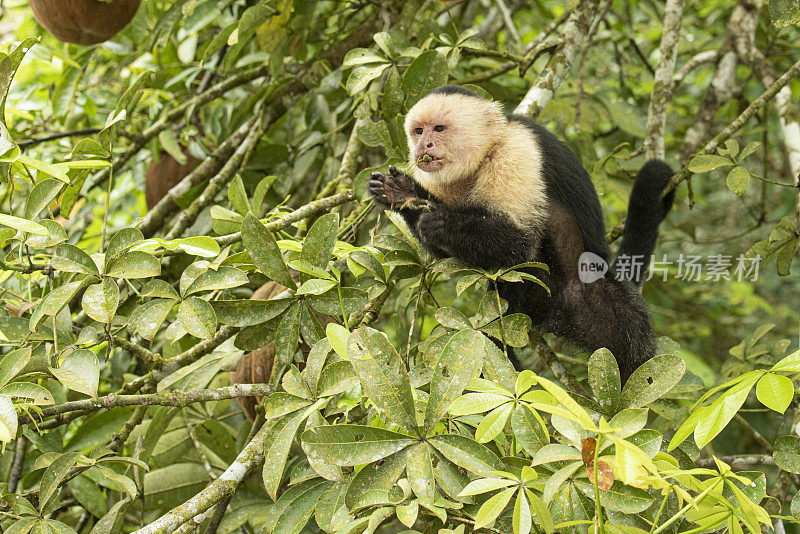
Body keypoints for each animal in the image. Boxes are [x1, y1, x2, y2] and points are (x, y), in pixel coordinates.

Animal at [368, 86, 676, 384]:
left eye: (439, 129)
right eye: (419, 131)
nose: (424, 146)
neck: (482, 157)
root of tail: (556, 313)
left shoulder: (517, 149)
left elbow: (519, 242)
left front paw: (442, 223)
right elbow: (448, 254)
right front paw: (401, 193)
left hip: (593, 296)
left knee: (632, 344)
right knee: (490, 327)